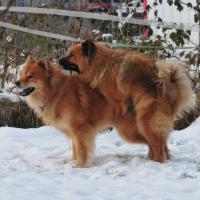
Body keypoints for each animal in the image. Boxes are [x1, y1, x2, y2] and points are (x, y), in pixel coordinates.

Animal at [15, 56, 146, 167]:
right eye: (21, 74)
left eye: (31, 76)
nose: (16, 82)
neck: (56, 92)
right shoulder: (73, 131)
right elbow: (75, 148)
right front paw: (73, 161)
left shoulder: (80, 129)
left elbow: (81, 149)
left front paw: (80, 165)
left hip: (128, 131)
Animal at [58, 39, 195, 162]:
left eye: (72, 55)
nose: (58, 60)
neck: (101, 64)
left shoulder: (116, 98)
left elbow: (119, 105)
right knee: (161, 144)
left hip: (146, 121)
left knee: (158, 146)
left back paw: (156, 161)